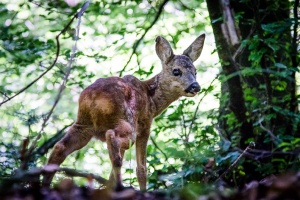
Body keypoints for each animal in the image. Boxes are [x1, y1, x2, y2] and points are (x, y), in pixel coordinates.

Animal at [42, 34, 205, 191]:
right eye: (176, 71)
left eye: (195, 72)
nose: (195, 86)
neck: (151, 99)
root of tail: (92, 98)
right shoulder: (145, 125)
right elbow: (141, 169)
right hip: (125, 122)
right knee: (112, 139)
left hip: (83, 125)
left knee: (60, 147)